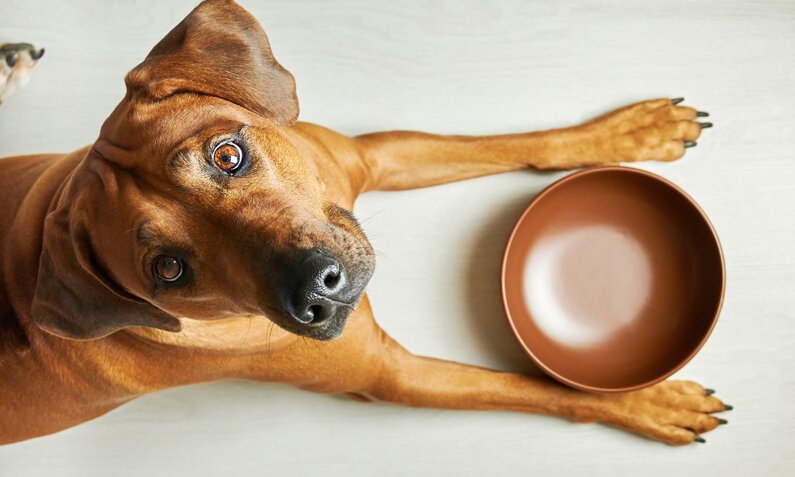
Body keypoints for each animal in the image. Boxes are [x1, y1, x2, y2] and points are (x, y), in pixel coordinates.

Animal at [0, 0, 728, 446]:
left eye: (227, 155)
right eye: (169, 270)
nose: (314, 290)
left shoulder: (366, 157)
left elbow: (510, 142)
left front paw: (630, 130)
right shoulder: (393, 376)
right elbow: (535, 389)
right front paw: (648, 403)